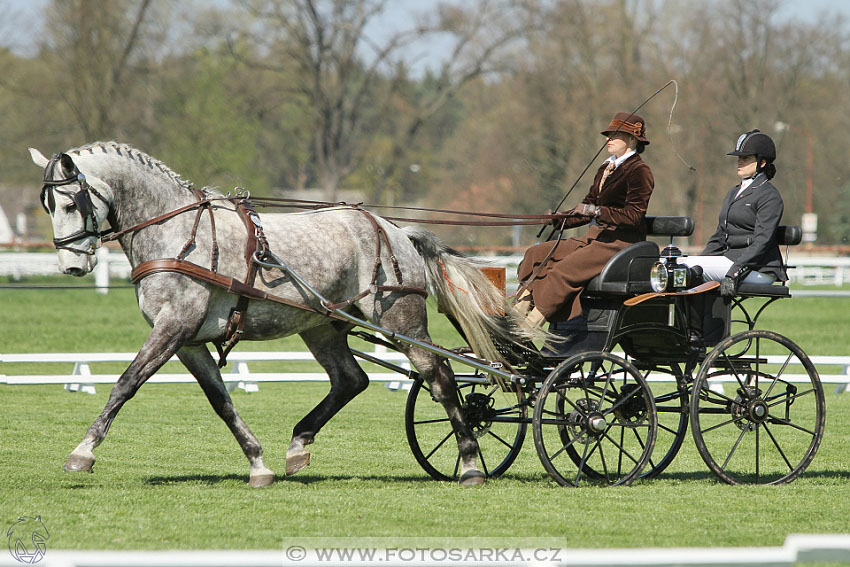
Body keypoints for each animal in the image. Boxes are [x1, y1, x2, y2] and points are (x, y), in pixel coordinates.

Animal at [33, 143, 524, 488]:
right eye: (48, 206)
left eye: (71, 203)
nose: (72, 265)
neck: (175, 231)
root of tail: (394, 229)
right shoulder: (188, 341)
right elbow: (221, 401)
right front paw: (258, 463)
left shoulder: (174, 327)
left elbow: (126, 383)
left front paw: (82, 452)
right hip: (323, 326)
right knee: (351, 380)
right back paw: (298, 445)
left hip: (400, 322)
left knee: (439, 377)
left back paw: (470, 463)